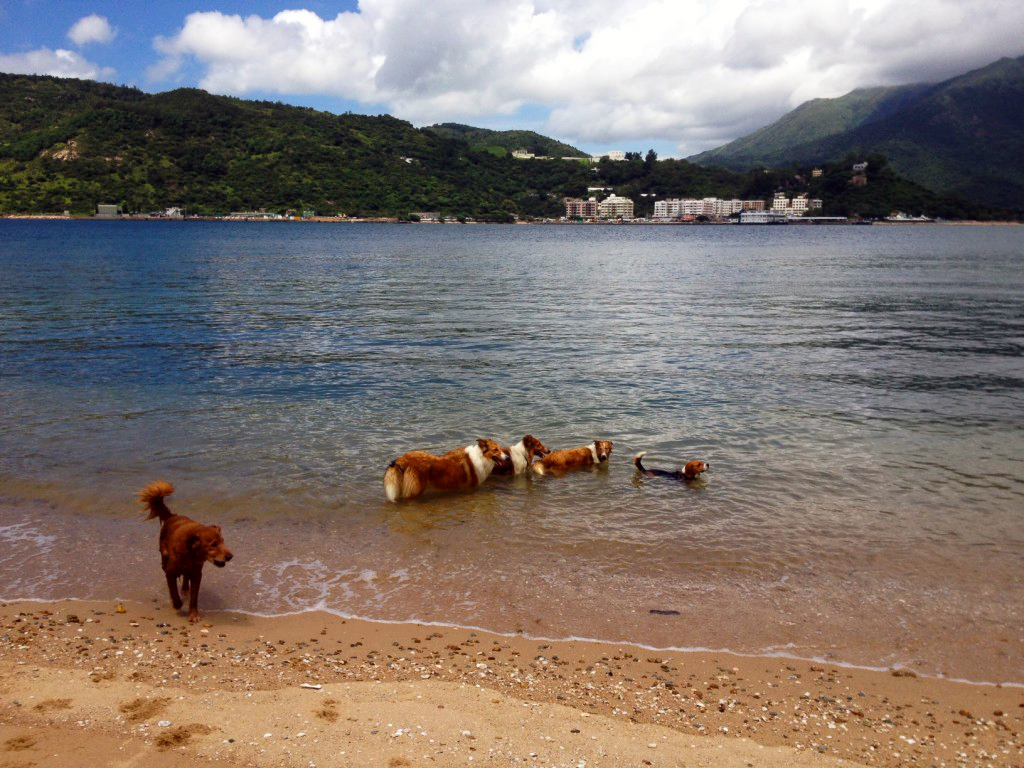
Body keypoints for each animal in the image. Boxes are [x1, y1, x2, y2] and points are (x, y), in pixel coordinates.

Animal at [140, 481, 234, 626]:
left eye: (223, 542)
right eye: (213, 545)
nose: (230, 556)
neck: (191, 554)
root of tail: (172, 516)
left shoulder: (197, 574)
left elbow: (194, 598)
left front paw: (193, 614)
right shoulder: (170, 572)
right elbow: (173, 591)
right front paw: (177, 604)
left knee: (185, 577)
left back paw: (184, 589)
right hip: (164, 558)